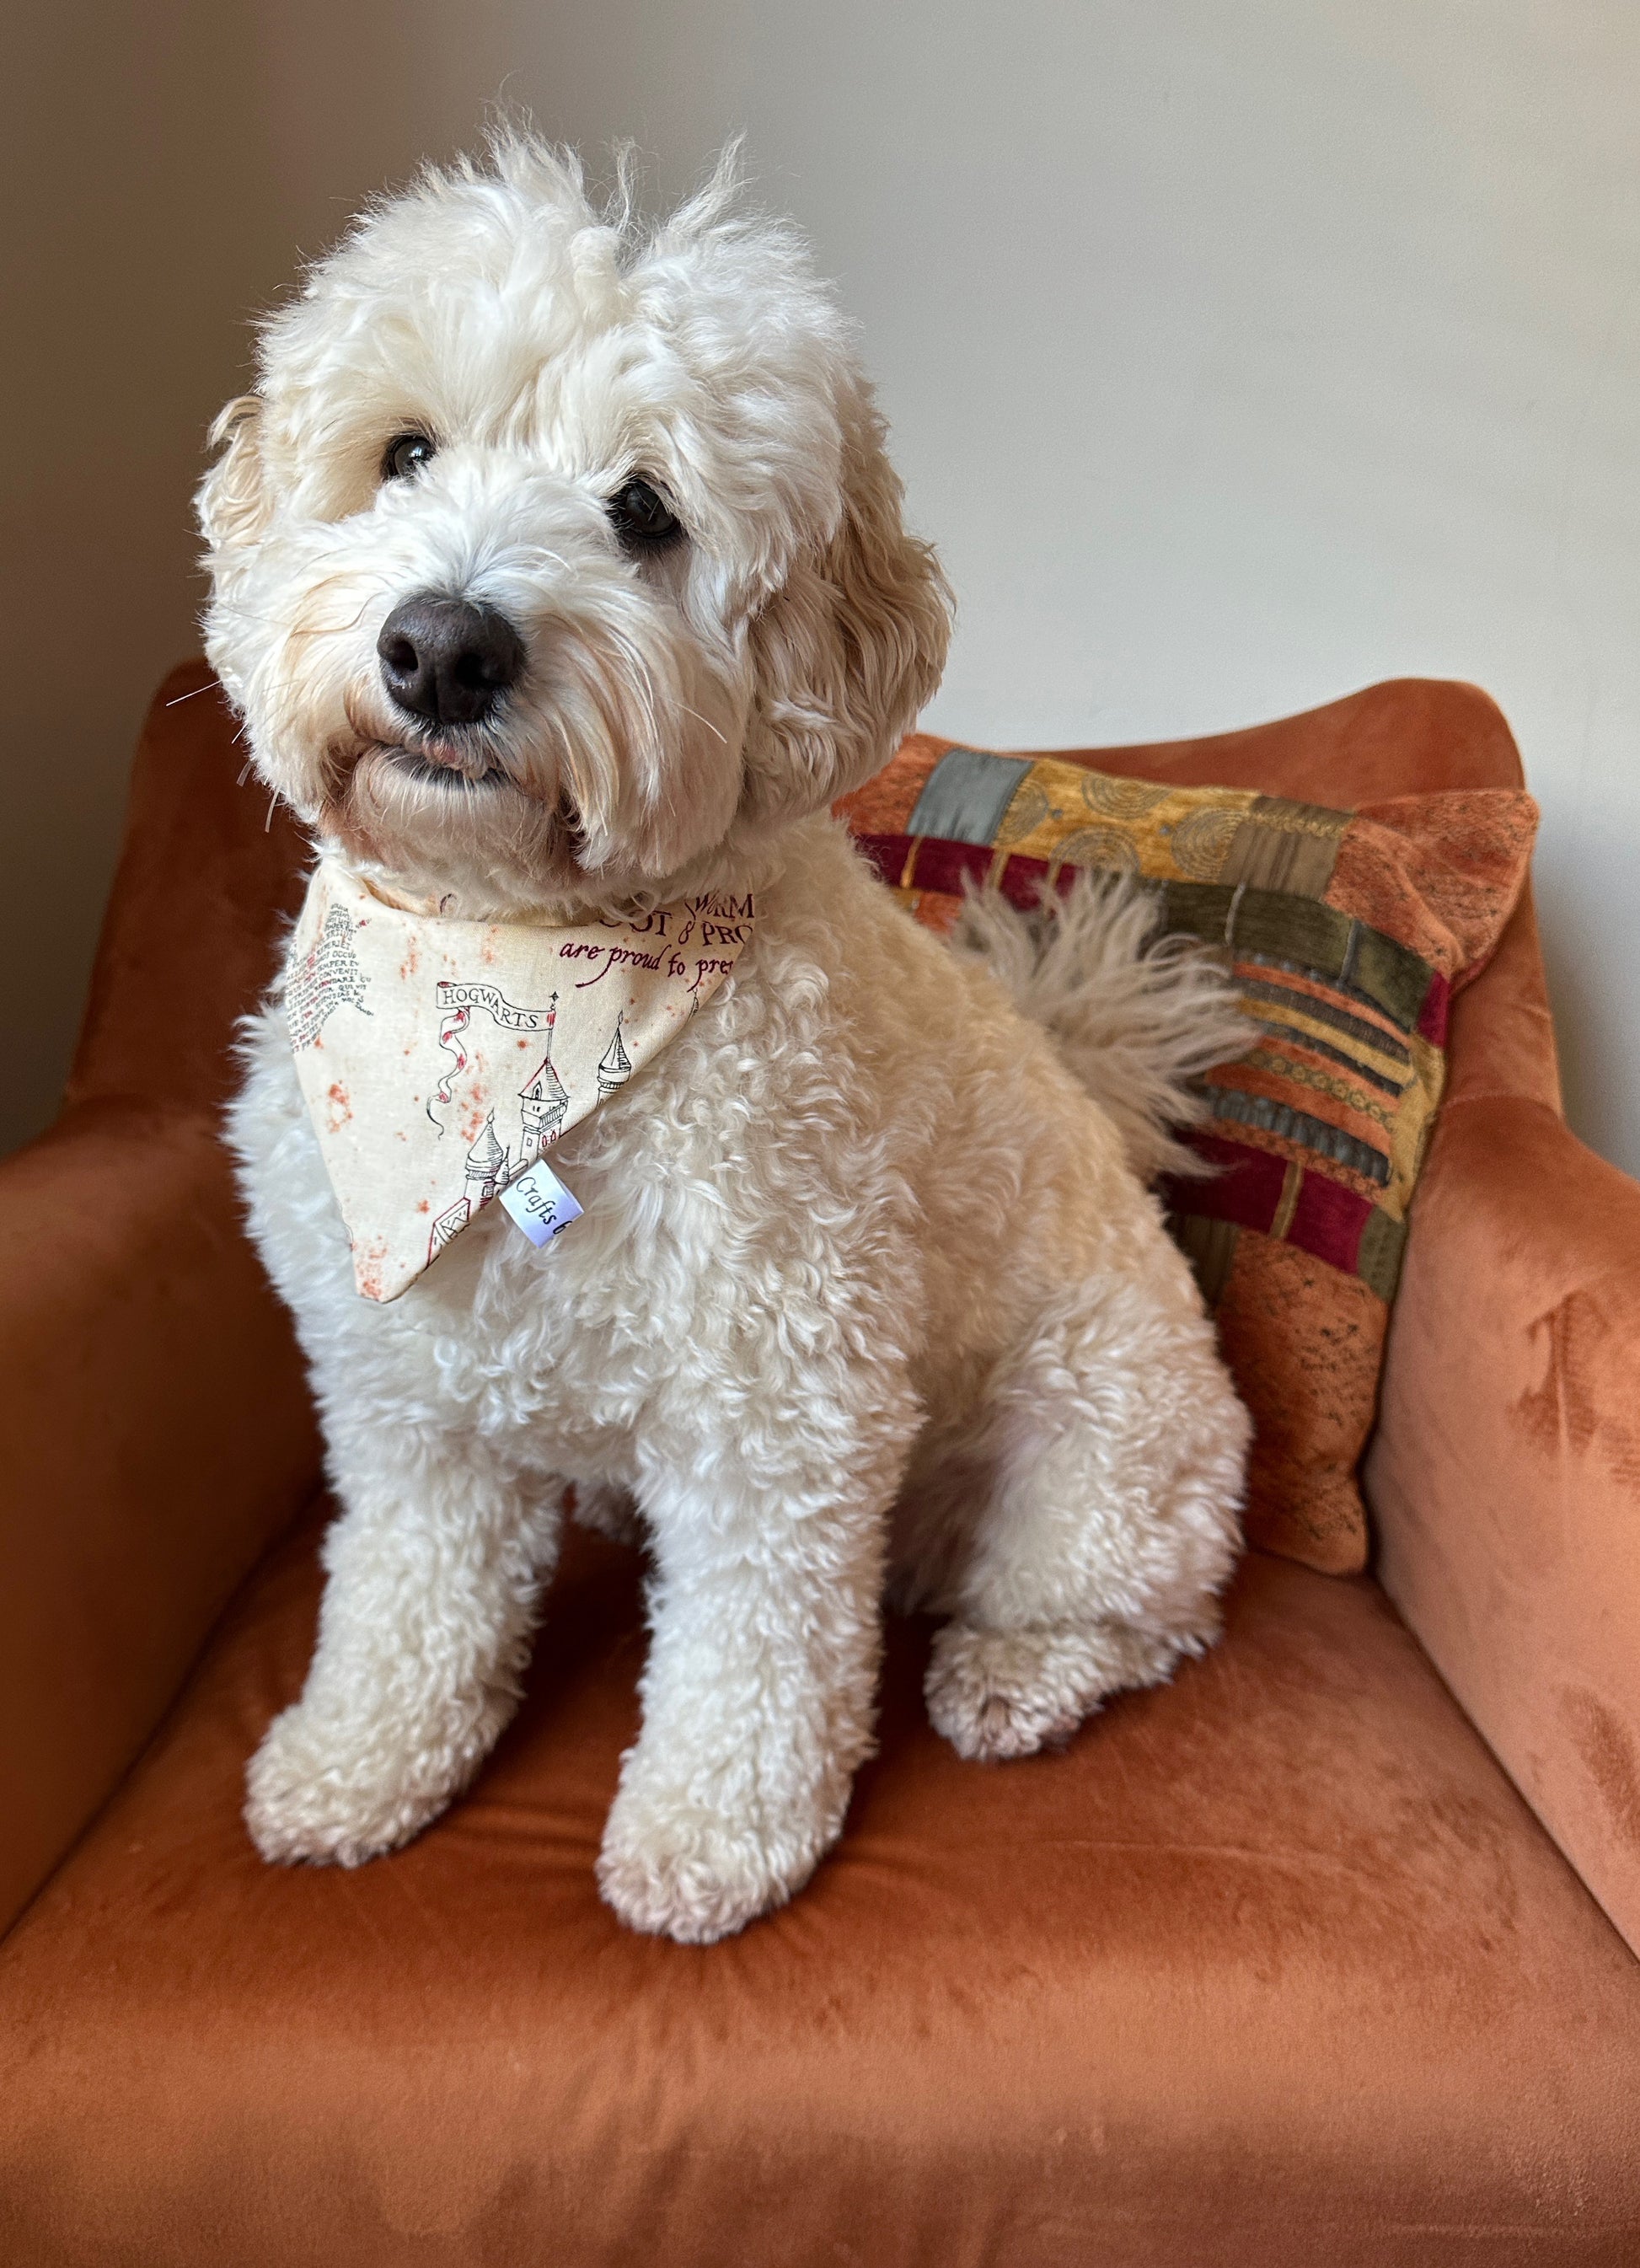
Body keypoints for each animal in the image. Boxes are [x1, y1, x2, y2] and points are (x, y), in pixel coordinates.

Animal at [208, 137, 1261, 1950]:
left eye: (644, 512)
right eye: (404, 451)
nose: (444, 646)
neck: (506, 982)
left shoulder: (783, 1410)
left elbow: (753, 1659)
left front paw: (711, 1839)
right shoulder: (406, 1400)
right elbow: (405, 1597)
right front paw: (358, 1762)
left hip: (1095, 1462)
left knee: (1139, 1610)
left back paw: (1015, 1676)